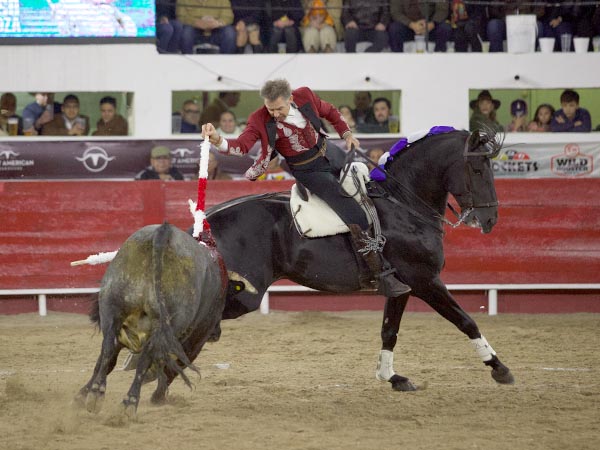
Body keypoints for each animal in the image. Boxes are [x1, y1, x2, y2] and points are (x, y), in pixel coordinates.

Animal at [75, 223, 225, 416]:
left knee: (108, 347)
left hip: (111, 305)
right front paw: (158, 398)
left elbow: (105, 360)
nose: (216, 333)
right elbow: (169, 368)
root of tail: (163, 231)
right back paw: (130, 402)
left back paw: (97, 393)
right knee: (145, 359)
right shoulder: (194, 342)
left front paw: (82, 394)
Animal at [209, 129, 512, 390]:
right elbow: (465, 321)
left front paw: (391, 376)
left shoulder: (402, 287)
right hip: (247, 294)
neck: (403, 205)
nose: (489, 219)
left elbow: (389, 330)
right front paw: (499, 368)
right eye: (478, 169)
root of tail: (209, 217)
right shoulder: (425, 281)